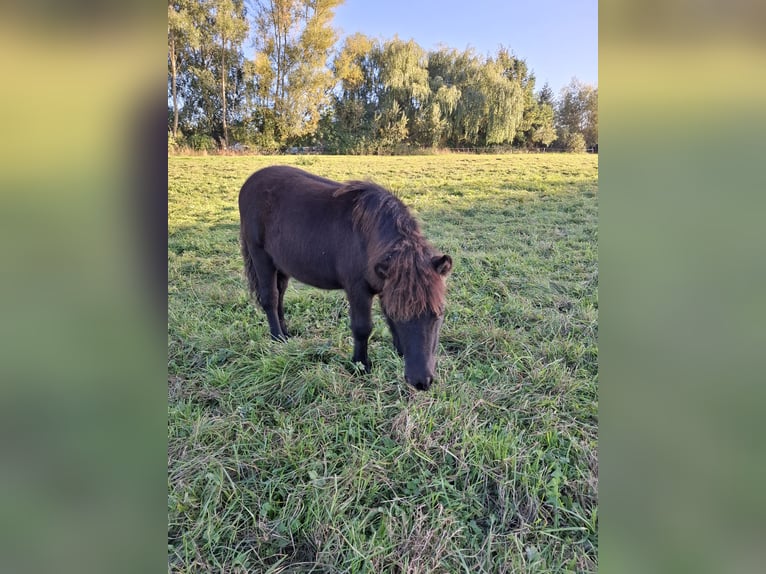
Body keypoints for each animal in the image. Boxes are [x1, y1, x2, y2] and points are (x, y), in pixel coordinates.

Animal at [238, 165, 452, 391]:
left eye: (438, 314)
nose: (421, 381)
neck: (368, 237)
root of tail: (250, 182)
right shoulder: (358, 290)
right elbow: (362, 328)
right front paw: (361, 365)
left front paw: (398, 350)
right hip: (260, 256)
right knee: (270, 298)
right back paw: (277, 337)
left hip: (280, 263)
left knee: (280, 295)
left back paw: (286, 333)